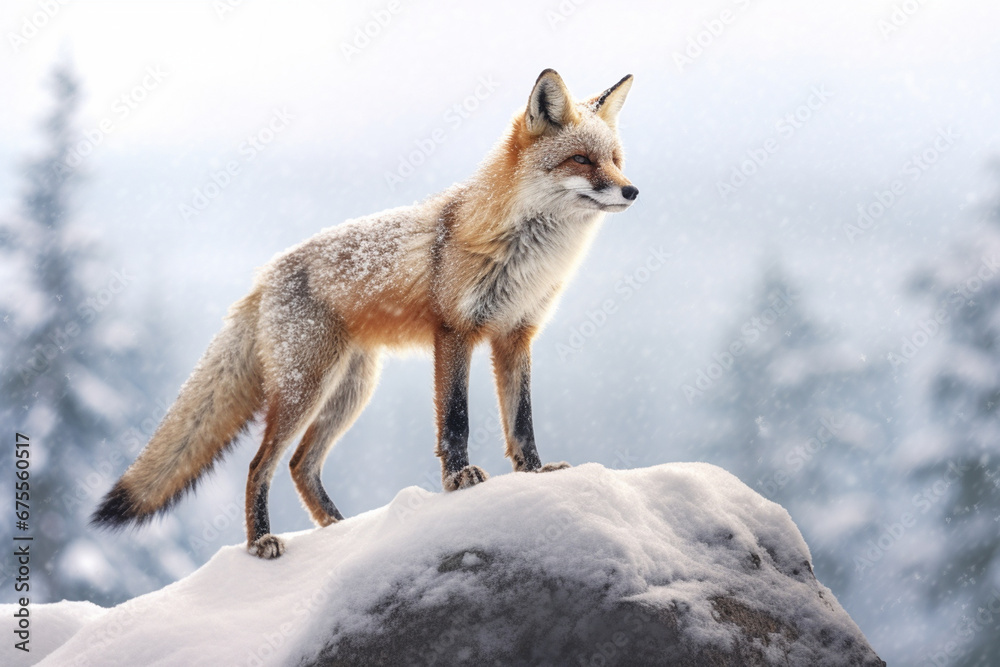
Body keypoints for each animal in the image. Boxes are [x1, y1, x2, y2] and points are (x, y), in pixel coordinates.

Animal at [92, 69, 638, 559]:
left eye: (615, 160)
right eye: (581, 160)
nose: (632, 191)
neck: (526, 255)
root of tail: (264, 276)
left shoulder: (515, 334)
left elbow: (521, 421)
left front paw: (534, 475)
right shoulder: (455, 330)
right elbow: (456, 420)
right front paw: (459, 481)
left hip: (351, 391)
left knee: (300, 465)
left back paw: (340, 531)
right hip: (307, 389)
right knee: (259, 465)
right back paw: (261, 542)